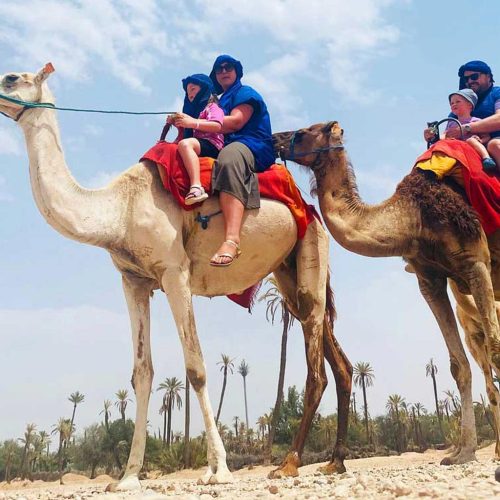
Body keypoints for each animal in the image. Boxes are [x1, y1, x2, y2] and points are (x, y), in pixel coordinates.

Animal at [0, 65, 352, 488]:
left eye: (11, 77)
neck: (119, 210)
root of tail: (309, 207)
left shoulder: (174, 273)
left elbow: (196, 368)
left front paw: (220, 470)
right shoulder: (133, 280)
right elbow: (141, 373)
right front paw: (128, 477)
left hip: (312, 246)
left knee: (316, 360)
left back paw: (290, 463)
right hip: (287, 271)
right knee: (337, 356)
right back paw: (335, 462)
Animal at [272, 122, 500, 464]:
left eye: (307, 130)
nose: (275, 138)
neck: (414, 218)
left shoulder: (475, 263)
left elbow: (495, 349)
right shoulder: (429, 279)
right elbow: (458, 365)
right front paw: (464, 453)